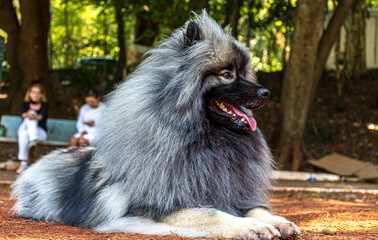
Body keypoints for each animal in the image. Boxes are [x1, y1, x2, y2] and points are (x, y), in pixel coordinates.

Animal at [12, 12, 302, 239]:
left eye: (244, 73)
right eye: (227, 75)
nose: (266, 93)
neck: (203, 142)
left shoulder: (233, 194)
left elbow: (258, 209)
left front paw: (278, 222)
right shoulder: (160, 207)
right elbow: (212, 214)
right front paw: (249, 227)